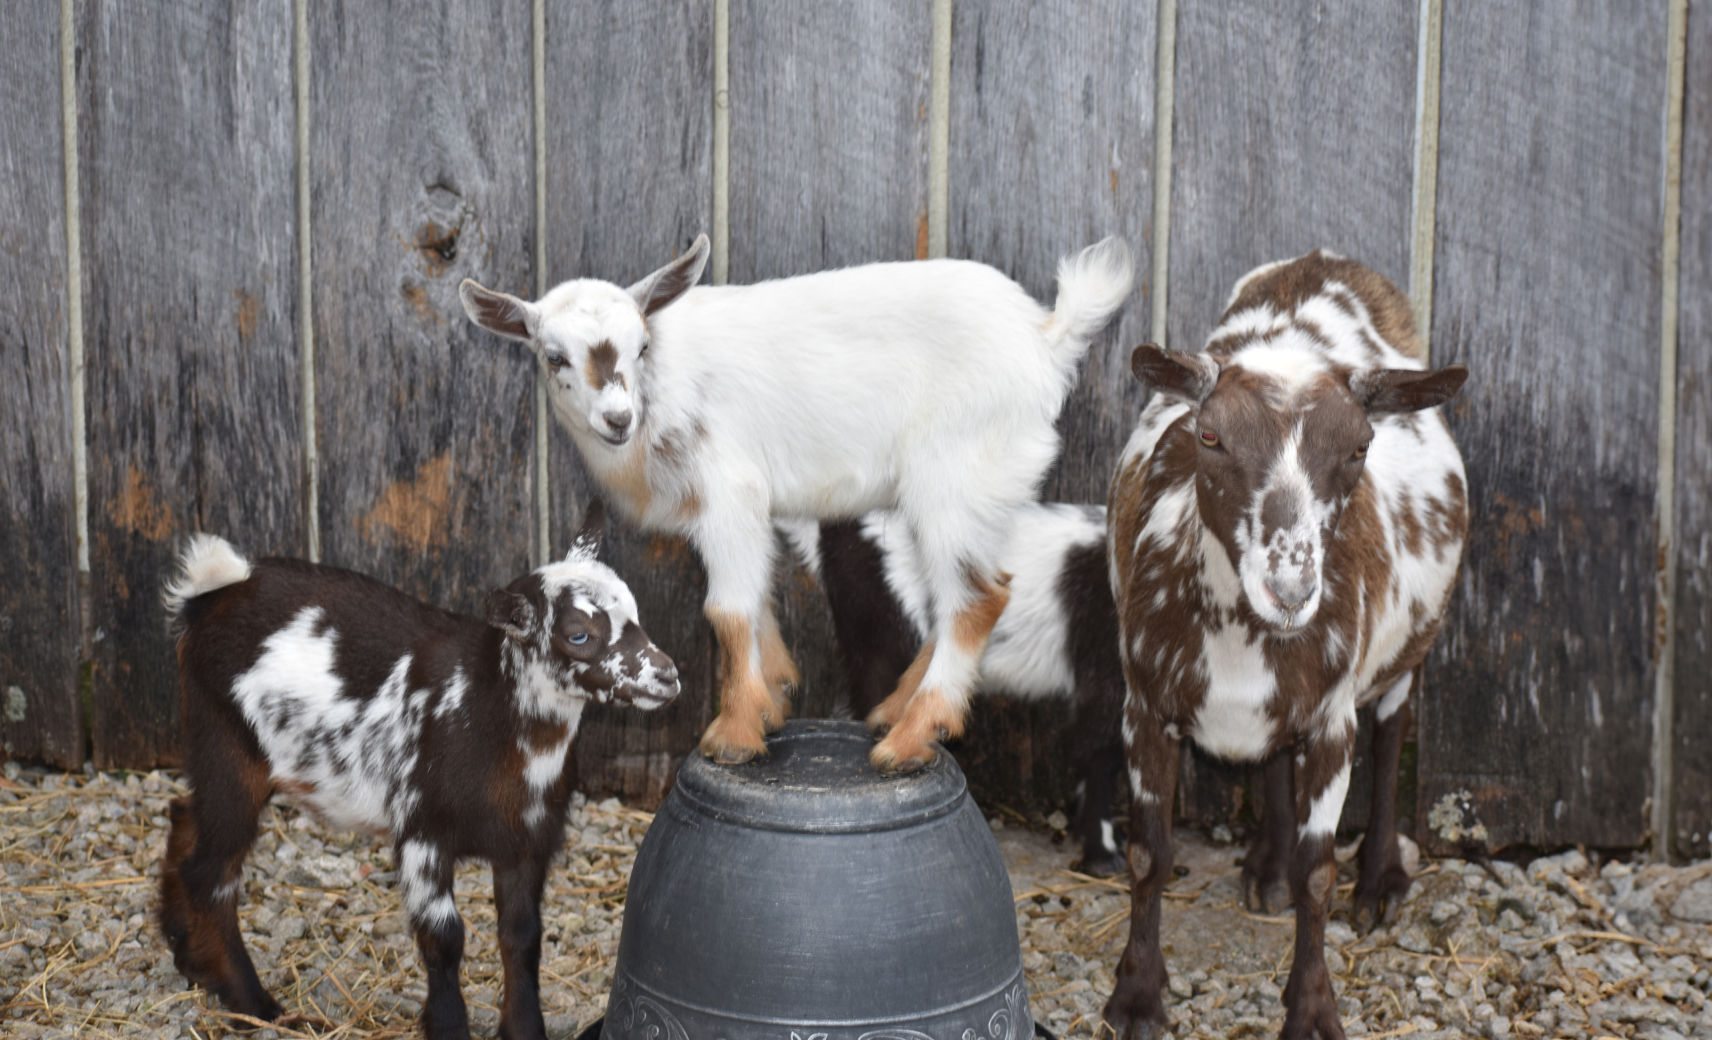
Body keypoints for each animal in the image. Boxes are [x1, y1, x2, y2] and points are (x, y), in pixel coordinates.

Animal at [157, 503, 678, 1040]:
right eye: (579, 634)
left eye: (635, 613)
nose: (667, 676)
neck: (485, 710)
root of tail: (211, 594)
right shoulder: (422, 831)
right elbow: (444, 938)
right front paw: (448, 1026)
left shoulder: (528, 841)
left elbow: (521, 936)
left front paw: (524, 1029)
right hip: (226, 744)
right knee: (213, 872)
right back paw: (254, 1004)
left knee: (184, 819)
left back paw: (188, 955)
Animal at [460, 234, 1132, 772]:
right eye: (553, 356)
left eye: (642, 346)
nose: (618, 419)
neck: (661, 394)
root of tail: (1045, 341)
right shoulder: (735, 513)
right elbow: (755, 601)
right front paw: (772, 700)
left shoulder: (729, 493)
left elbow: (726, 610)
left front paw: (733, 734)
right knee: (959, 599)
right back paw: (896, 711)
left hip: (955, 481)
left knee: (977, 600)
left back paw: (909, 740)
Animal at [1102, 252, 1467, 1040]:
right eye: (1209, 437)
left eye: (1360, 447)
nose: (1290, 587)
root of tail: (1324, 261)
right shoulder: (1144, 705)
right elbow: (1149, 855)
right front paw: (1137, 997)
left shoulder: (1332, 720)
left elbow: (1319, 873)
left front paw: (1313, 1009)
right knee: (1270, 758)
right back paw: (1265, 867)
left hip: (1410, 647)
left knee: (1393, 730)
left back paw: (1381, 882)